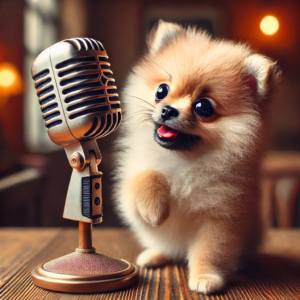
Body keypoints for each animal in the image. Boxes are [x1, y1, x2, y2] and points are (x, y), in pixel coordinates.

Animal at [113, 21, 280, 296]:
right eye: (162, 90)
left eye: (203, 107)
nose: (167, 110)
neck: (184, 161)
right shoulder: (130, 189)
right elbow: (147, 176)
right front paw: (155, 209)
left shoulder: (222, 217)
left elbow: (209, 251)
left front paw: (205, 277)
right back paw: (154, 255)